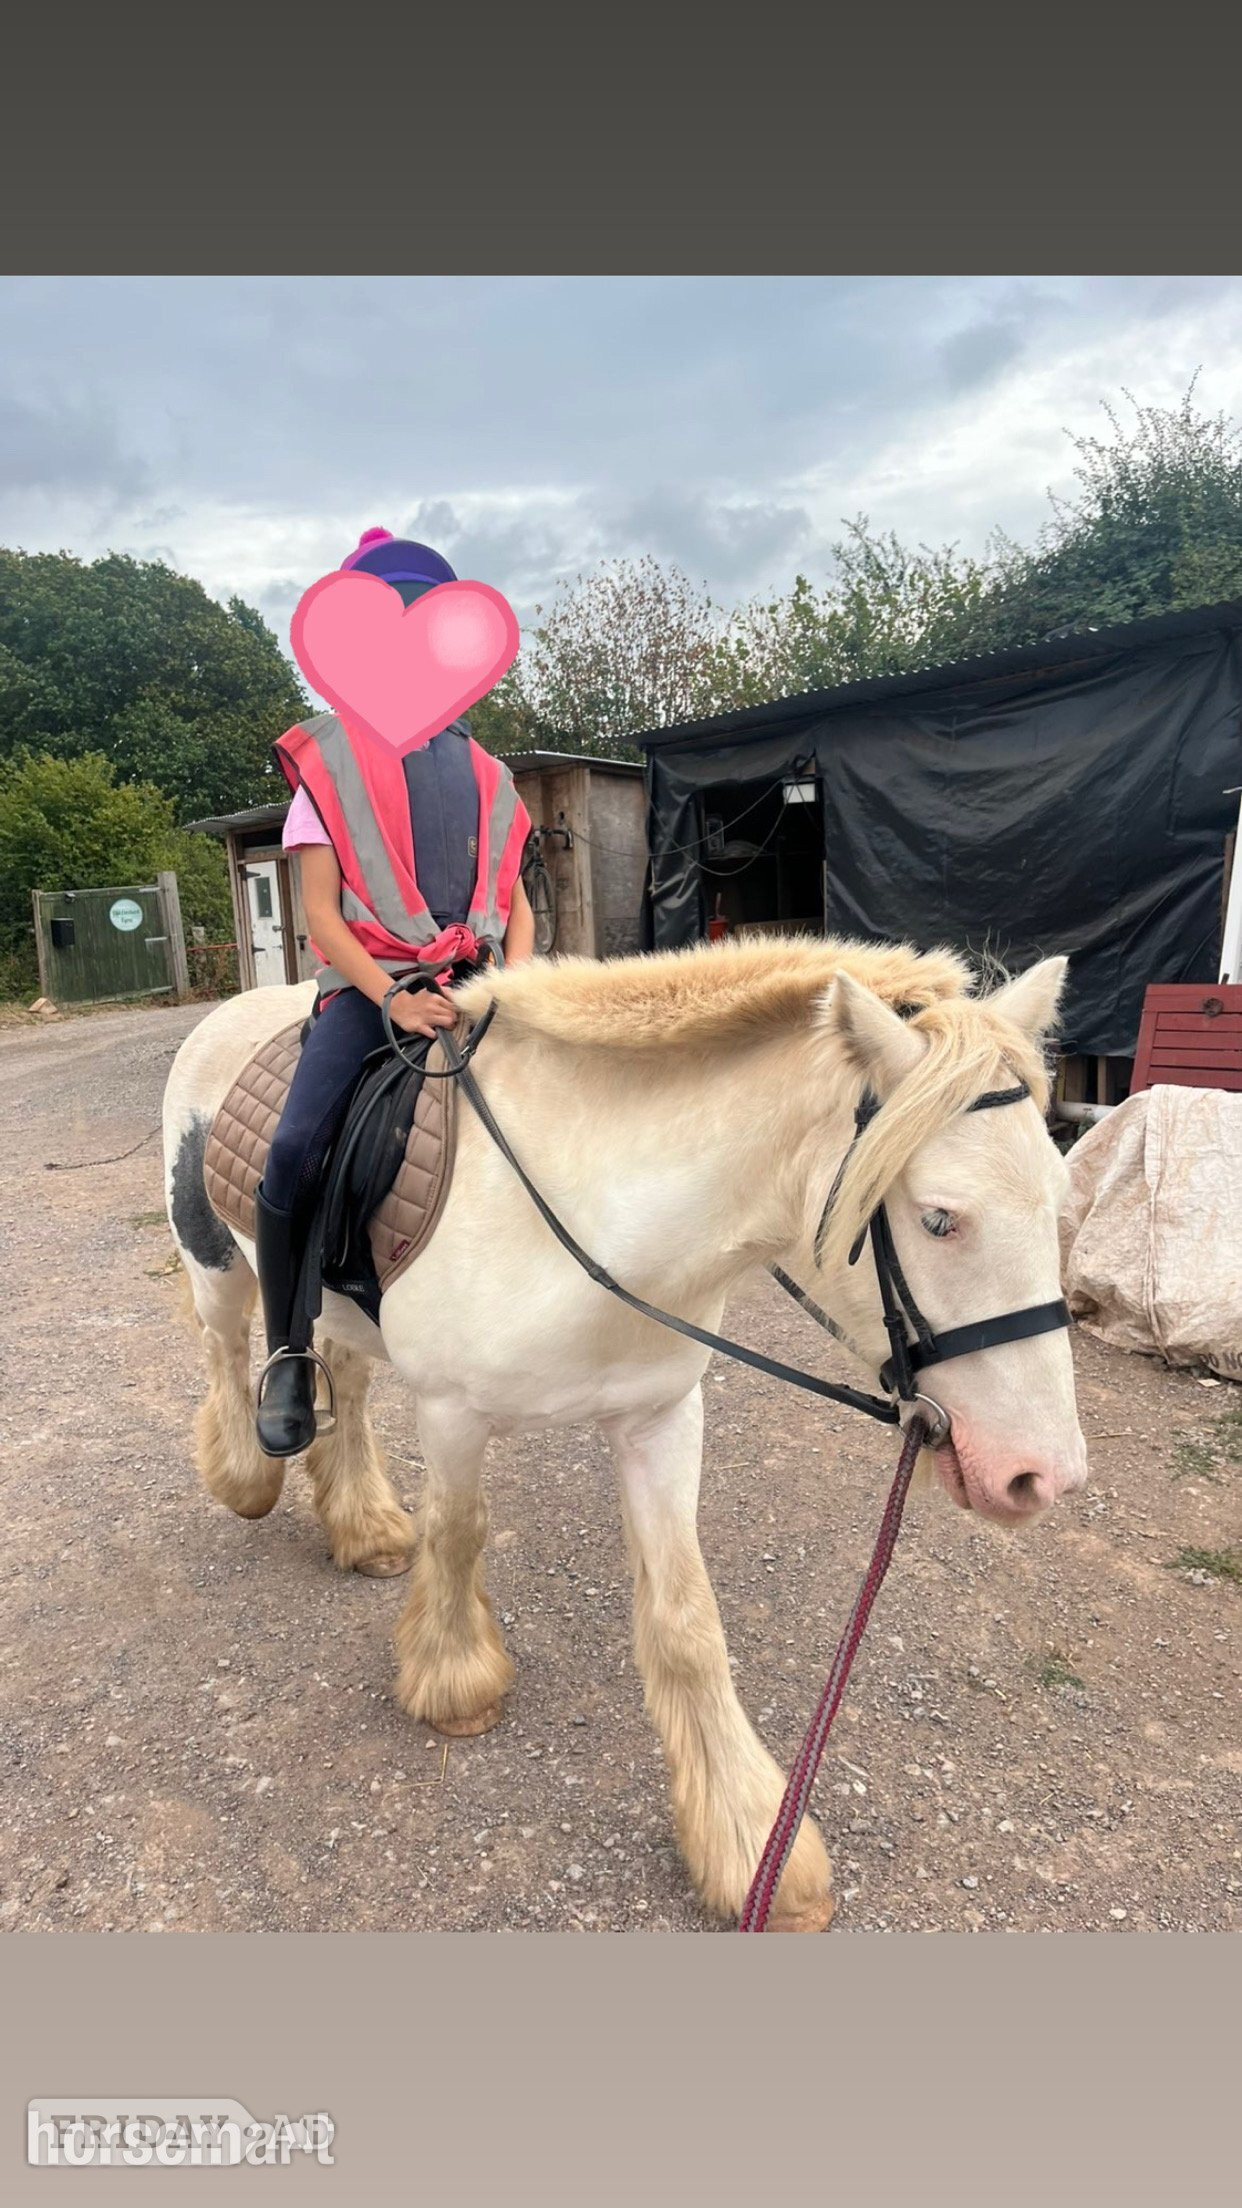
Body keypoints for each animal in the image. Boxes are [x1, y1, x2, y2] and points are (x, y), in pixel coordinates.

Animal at [162, 935, 1086, 1930]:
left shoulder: (661, 1419)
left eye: (1061, 1200)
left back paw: (363, 1525)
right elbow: (458, 1535)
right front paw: (456, 1683)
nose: (1042, 1476)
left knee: (348, 1377)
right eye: (939, 1218)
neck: (591, 1215)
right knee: (228, 1351)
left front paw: (749, 1844)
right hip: (217, 1262)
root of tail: (233, 1009)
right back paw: (250, 1469)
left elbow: (688, 1621)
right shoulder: (452, 1411)